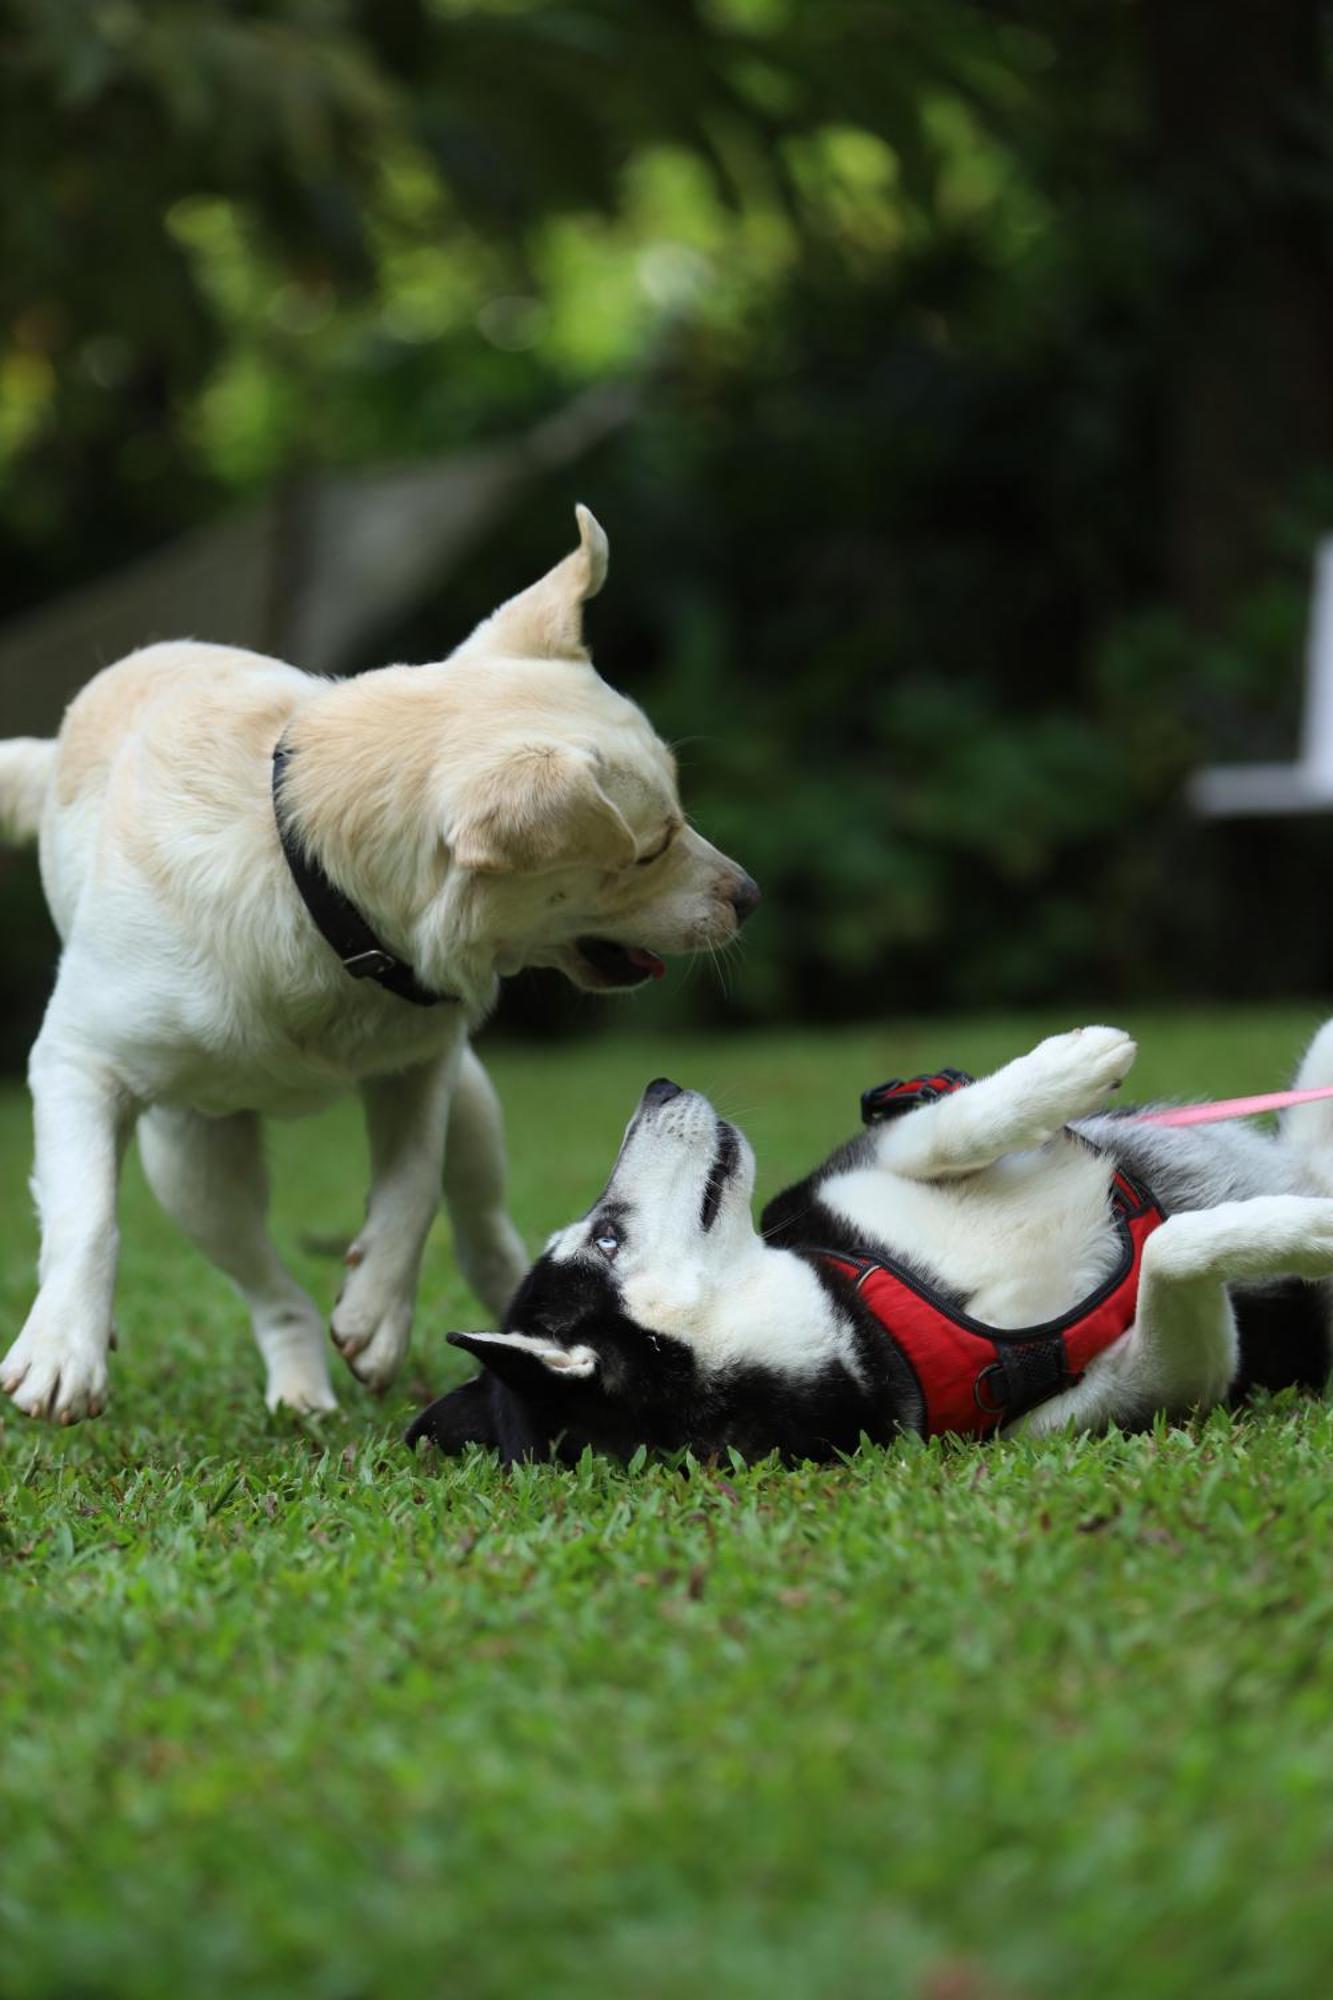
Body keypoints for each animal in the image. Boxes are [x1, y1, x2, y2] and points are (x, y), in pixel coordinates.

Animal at [0, 508, 756, 1432]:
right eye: (649, 849)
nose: (750, 897)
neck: (313, 887)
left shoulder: (423, 1066)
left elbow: (410, 1189)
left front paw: (377, 1318)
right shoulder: (75, 1062)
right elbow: (87, 1216)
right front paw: (63, 1350)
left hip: (473, 1106)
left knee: (481, 1224)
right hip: (193, 1167)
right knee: (270, 1288)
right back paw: (299, 1389)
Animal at [404, 1024, 1328, 1464]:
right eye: (605, 1237)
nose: (658, 1086)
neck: (859, 1324)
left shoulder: (860, 1164)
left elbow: (948, 1124)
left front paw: (1063, 1068)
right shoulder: (1141, 1392)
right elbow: (1173, 1251)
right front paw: (1310, 1229)